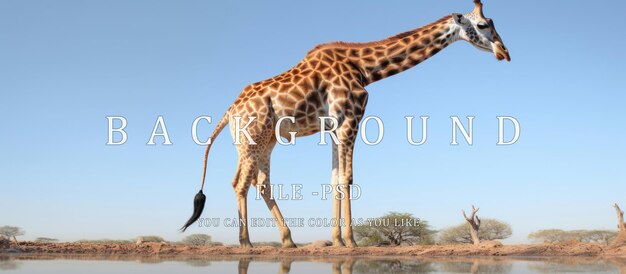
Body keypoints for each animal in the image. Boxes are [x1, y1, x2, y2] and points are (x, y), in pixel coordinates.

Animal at [179, 0, 508, 248]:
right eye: (483, 25)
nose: (504, 52)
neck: (365, 68)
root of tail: (230, 110)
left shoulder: (334, 126)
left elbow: (335, 178)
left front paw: (337, 240)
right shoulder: (350, 117)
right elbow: (348, 178)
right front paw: (351, 241)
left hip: (265, 140)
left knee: (260, 182)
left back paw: (288, 240)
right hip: (251, 135)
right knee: (240, 182)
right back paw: (246, 242)